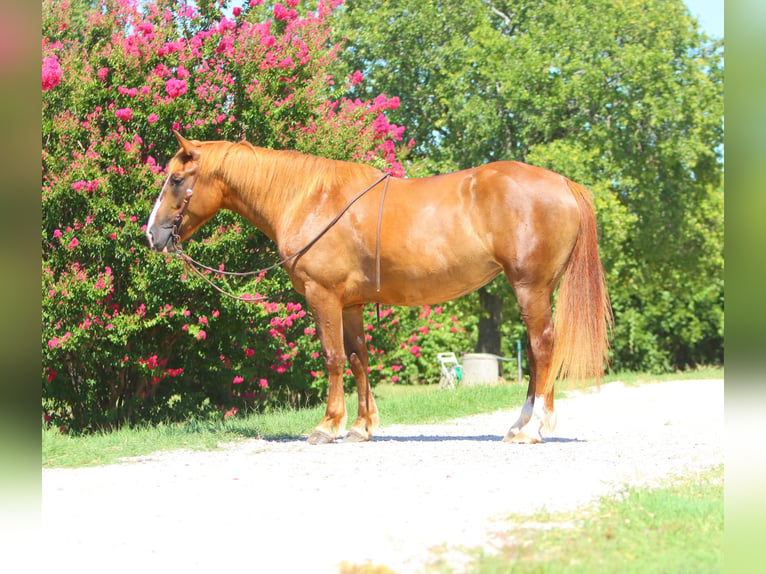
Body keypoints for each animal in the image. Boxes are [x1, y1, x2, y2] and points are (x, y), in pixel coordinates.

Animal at [147, 130, 616, 446]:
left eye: (176, 179)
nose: (151, 235)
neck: (309, 199)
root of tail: (563, 184)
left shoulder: (323, 296)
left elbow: (333, 358)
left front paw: (327, 425)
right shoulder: (350, 304)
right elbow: (359, 358)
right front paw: (361, 426)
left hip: (529, 287)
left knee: (542, 348)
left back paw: (532, 428)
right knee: (537, 356)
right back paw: (518, 425)